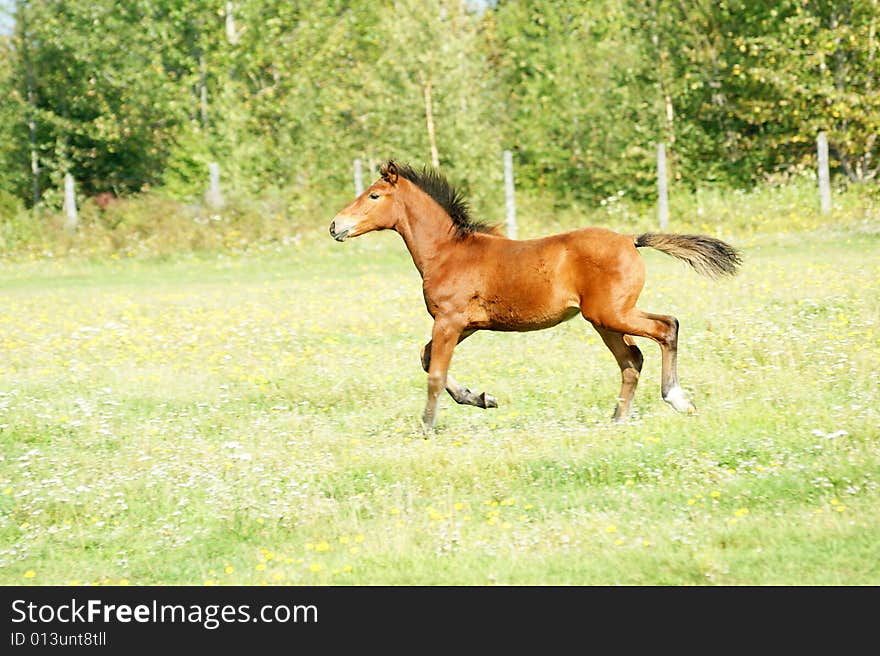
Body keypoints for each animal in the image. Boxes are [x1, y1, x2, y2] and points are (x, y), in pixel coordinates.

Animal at [330, 161, 744, 434]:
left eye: (374, 195)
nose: (336, 226)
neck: (448, 252)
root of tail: (630, 240)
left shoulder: (449, 320)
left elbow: (434, 372)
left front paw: (428, 427)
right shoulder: (466, 324)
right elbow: (427, 357)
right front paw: (482, 398)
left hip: (612, 313)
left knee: (666, 327)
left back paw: (676, 398)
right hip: (603, 319)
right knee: (632, 359)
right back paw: (616, 420)